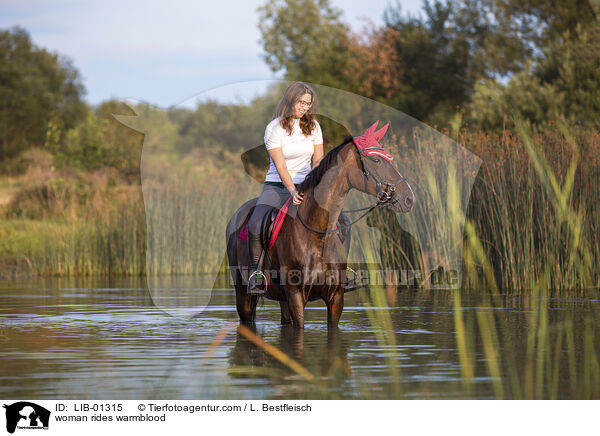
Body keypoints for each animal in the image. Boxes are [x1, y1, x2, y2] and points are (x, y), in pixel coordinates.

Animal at [225, 121, 412, 328]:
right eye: (376, 160)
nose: (408, 198)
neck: (317, 234)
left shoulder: (336, 298)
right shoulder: (296, 296)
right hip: (243, 296)